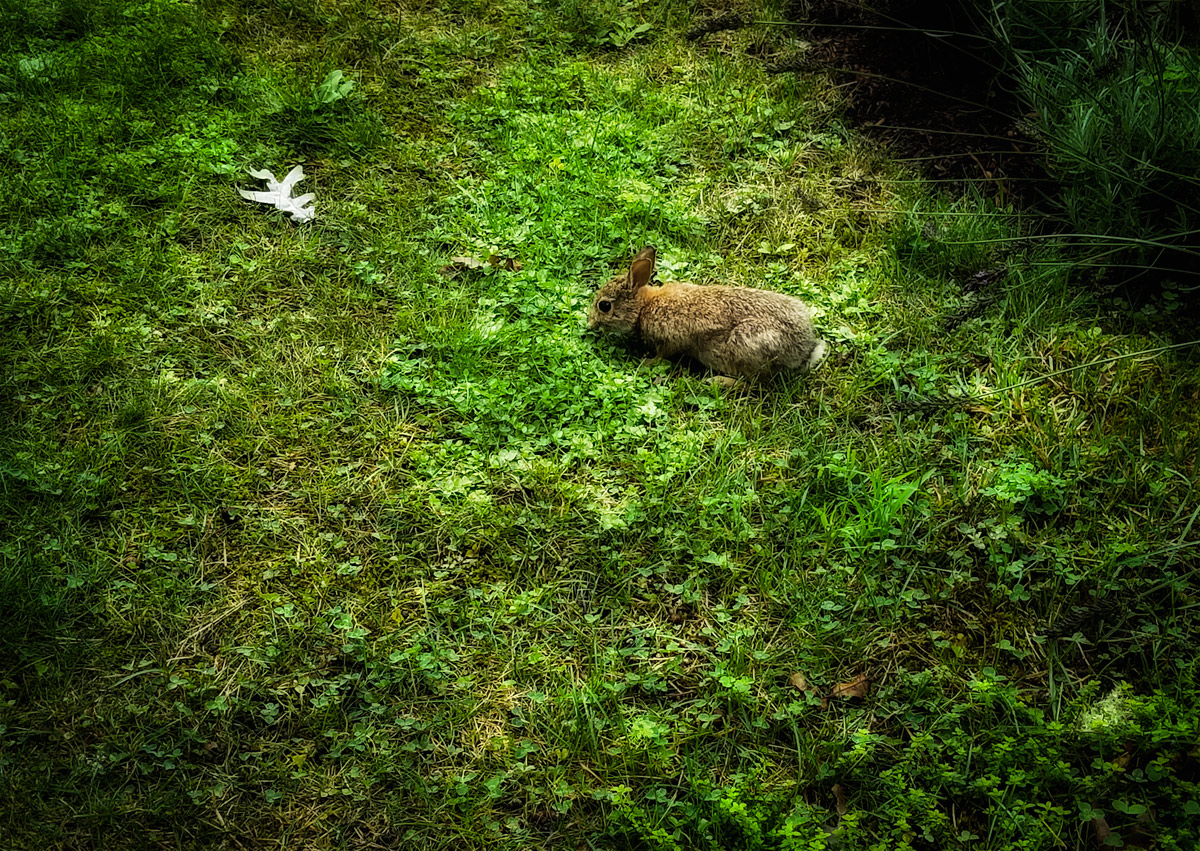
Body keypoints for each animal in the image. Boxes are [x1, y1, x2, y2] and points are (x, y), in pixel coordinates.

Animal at [588, 246, 825, 379]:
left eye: (604, 306)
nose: (590, 323)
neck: (643, 307)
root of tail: (803, 351)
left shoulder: (670, 339)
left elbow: (662, 355)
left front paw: (645, 363)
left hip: (746, 346)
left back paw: (717, 382)